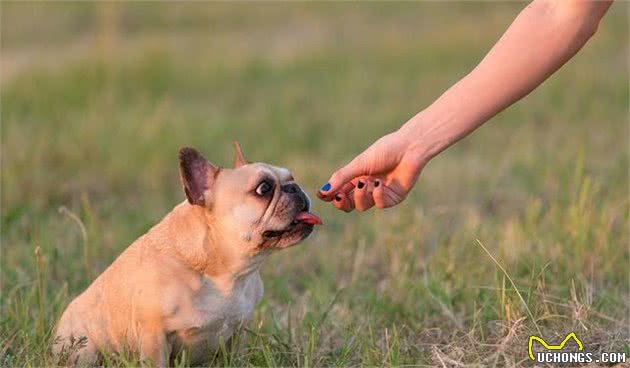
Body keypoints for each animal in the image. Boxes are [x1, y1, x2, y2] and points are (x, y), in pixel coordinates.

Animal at [51, 143, 324, 366]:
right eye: (264, 189)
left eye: (291, 178)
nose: (295, 187)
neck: (225, 272)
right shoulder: (154, 336)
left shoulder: (236, 335)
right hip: (85, 350)